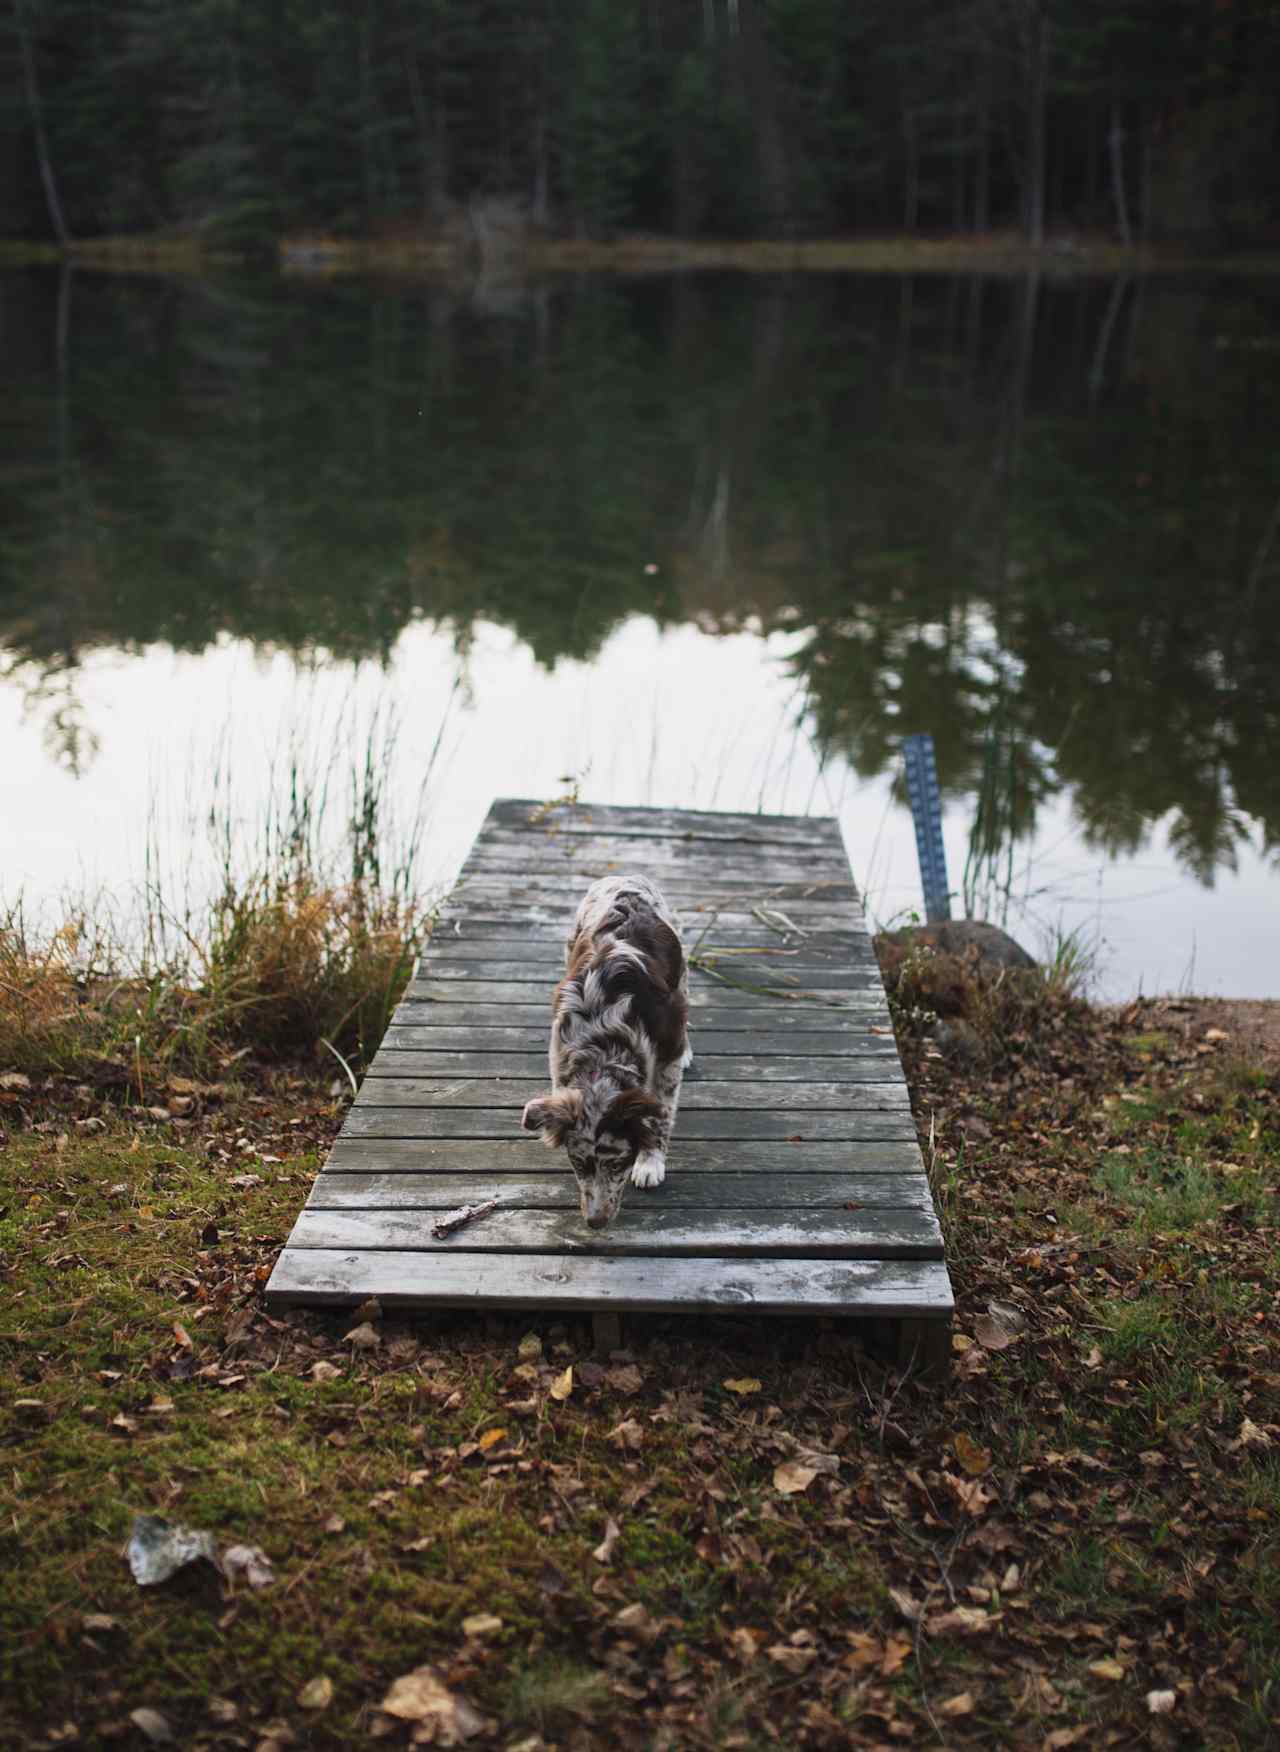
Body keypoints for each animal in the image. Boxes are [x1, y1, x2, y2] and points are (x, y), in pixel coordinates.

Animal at [521, 876, 696, 1233]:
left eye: (617, 1163)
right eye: (579, 1163)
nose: (595, 1222)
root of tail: (624, 877)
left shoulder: (666, 1060)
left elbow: (661, 1116)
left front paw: (650, 1163)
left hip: (681, 977)